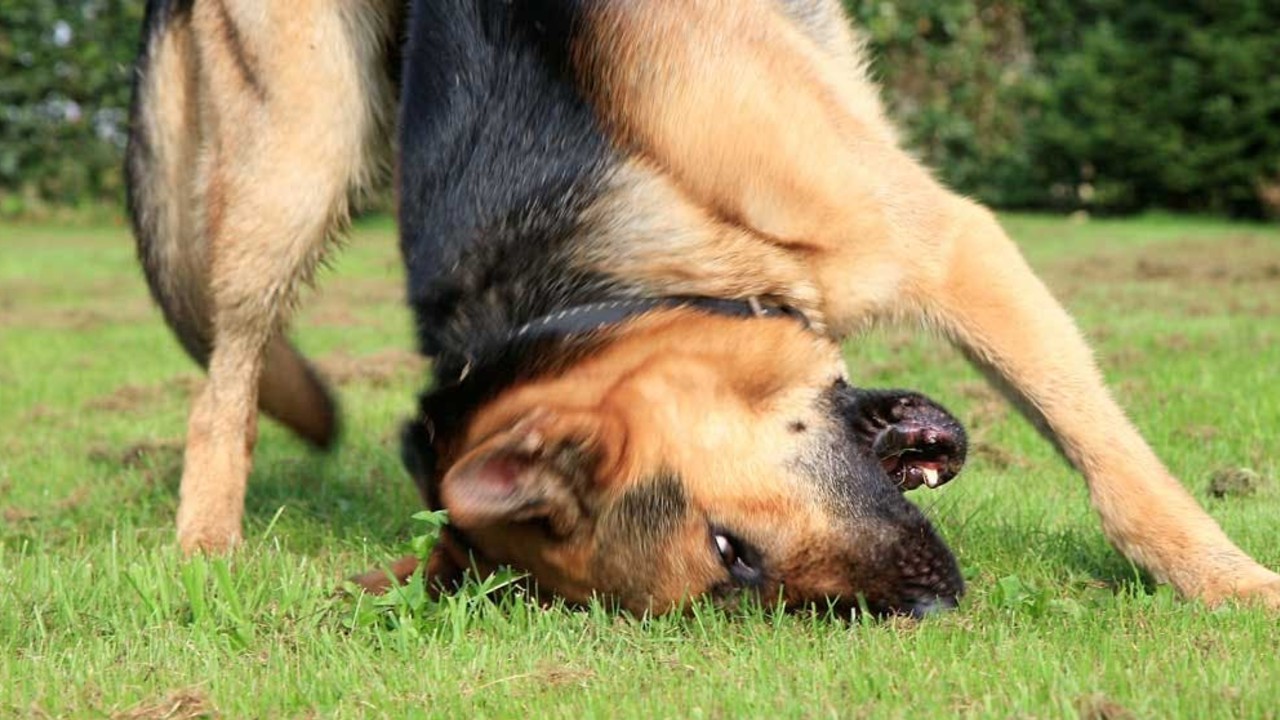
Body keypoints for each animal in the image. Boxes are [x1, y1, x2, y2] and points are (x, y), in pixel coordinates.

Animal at [129, 0, 1280, 614]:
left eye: (729, 548)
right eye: (735, 577)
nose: (928, 606)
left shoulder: (952, 244)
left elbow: (1115, 474)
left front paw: (1230, 586)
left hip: (302, 156)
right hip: (293, 149)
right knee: (225, 382)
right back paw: (204, 554)